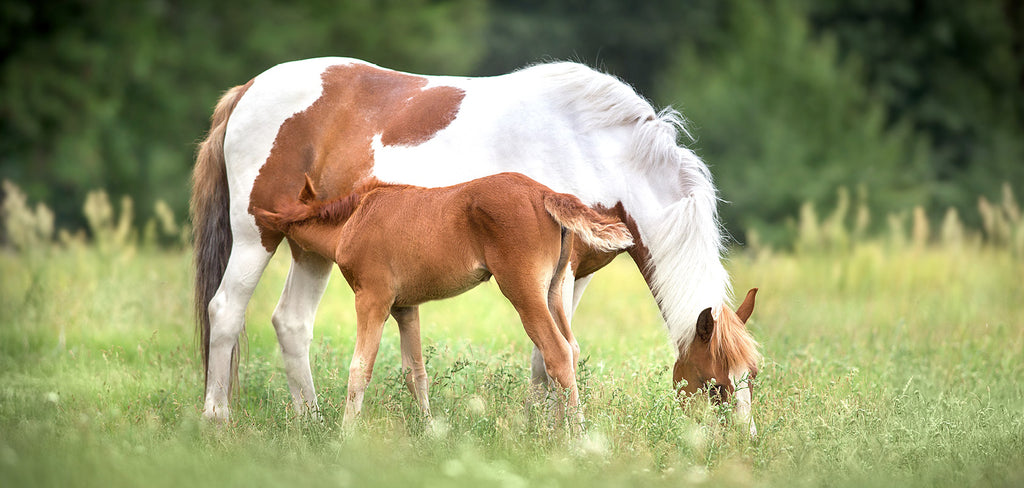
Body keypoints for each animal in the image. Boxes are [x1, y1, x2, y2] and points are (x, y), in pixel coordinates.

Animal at [251, 170, 630, 425]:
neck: (354, 219)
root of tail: (546, 193)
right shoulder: (405, 307)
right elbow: (414, 371)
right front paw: (429, 429)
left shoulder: (372, 299)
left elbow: (360, 368)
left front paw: (346, 434)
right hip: (555, 289)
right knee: (572, 348)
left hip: (523, 290)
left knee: (558, 352)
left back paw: (576, 437)